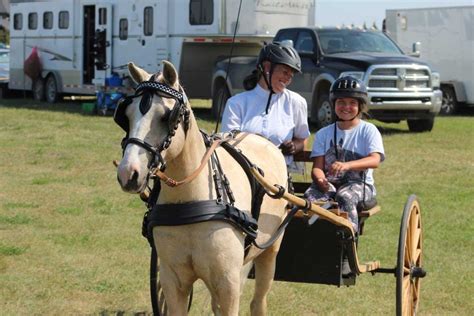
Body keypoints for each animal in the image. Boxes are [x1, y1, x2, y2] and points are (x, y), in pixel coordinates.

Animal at [115, 60, 288, 314]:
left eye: (165, 116)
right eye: (126, 115)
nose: (128, 173)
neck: (191, 201)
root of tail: (261, 138)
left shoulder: (227, 282)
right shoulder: (172, 280)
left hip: (269, 251)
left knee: (258, 302)